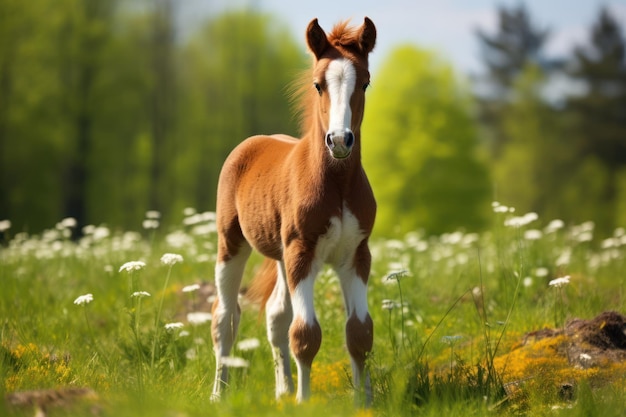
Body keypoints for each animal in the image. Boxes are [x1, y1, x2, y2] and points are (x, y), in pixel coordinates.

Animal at [210, 17, 376, 404]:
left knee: (275, 316)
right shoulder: (303, 253)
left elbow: (359, 333)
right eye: (318, 84)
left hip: (282, 257)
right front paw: (304, 402)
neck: (337, 184)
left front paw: (365, 403)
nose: (340, 140)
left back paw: (282, 391)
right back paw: (219, 394)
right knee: (225, 317)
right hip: (232, 244)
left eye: (365, 81)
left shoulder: (356, 256)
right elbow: (306, 334)